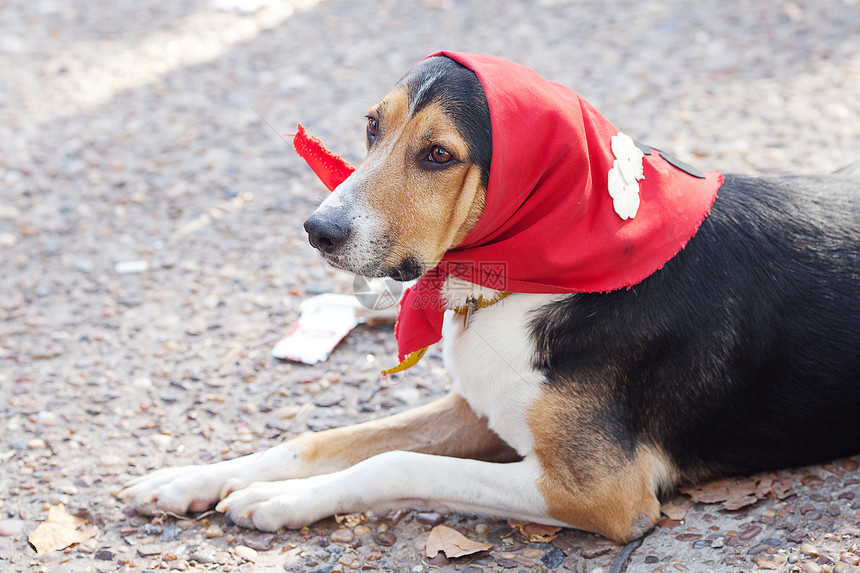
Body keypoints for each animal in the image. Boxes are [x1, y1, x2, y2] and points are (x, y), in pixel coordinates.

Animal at [121, 51, 860, 544]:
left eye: (439, 156)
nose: (318, 230)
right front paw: (192, 477)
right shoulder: (477, 408)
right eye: (371, 127)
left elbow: (391, 461)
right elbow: (321, 439)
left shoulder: (599, 492)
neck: (534, 278)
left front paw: (276, 499)